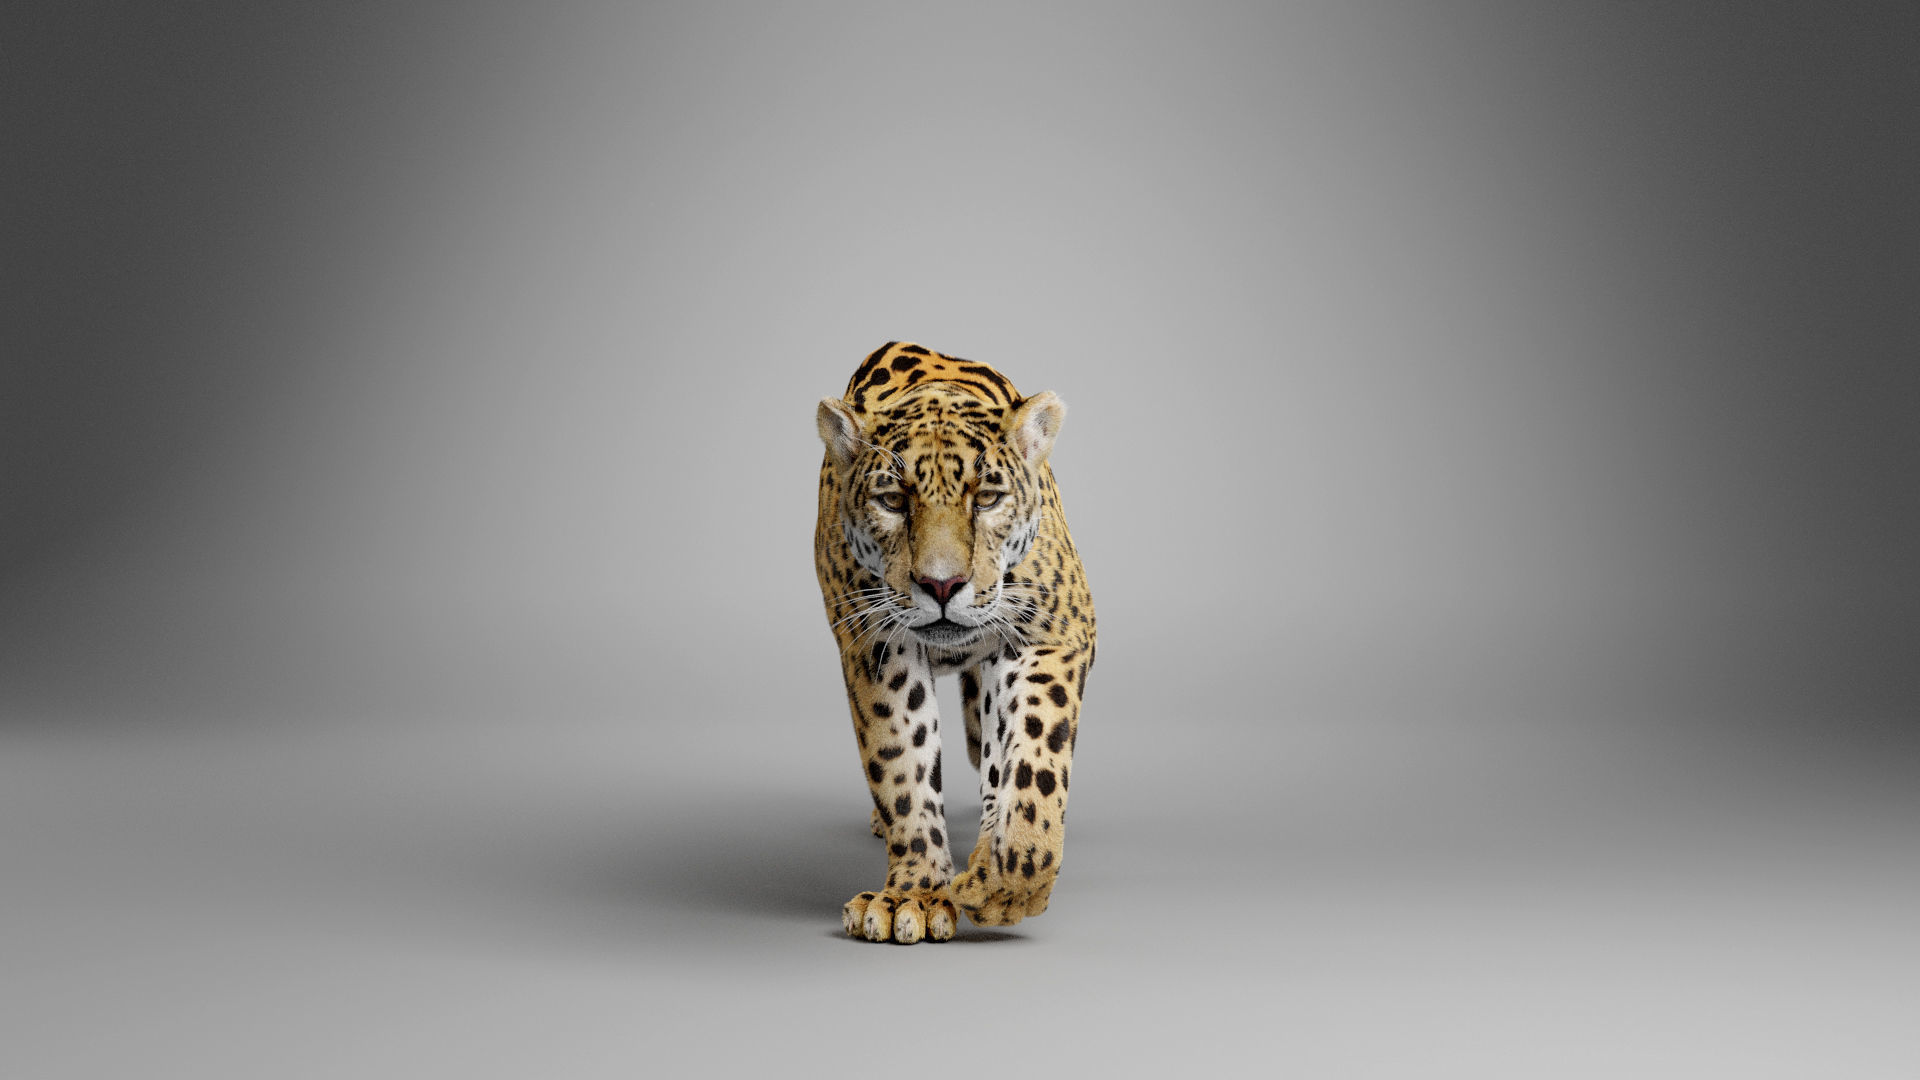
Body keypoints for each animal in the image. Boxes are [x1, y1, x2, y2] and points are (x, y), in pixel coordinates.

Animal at [814, 341, 1095, 944]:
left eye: (987, 497)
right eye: (893, 500)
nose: (941, 585)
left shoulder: (1054, 631)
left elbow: (1033, 758)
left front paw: (1009, 878)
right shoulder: (877, 644)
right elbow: (902, 761)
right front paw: (915, 894)